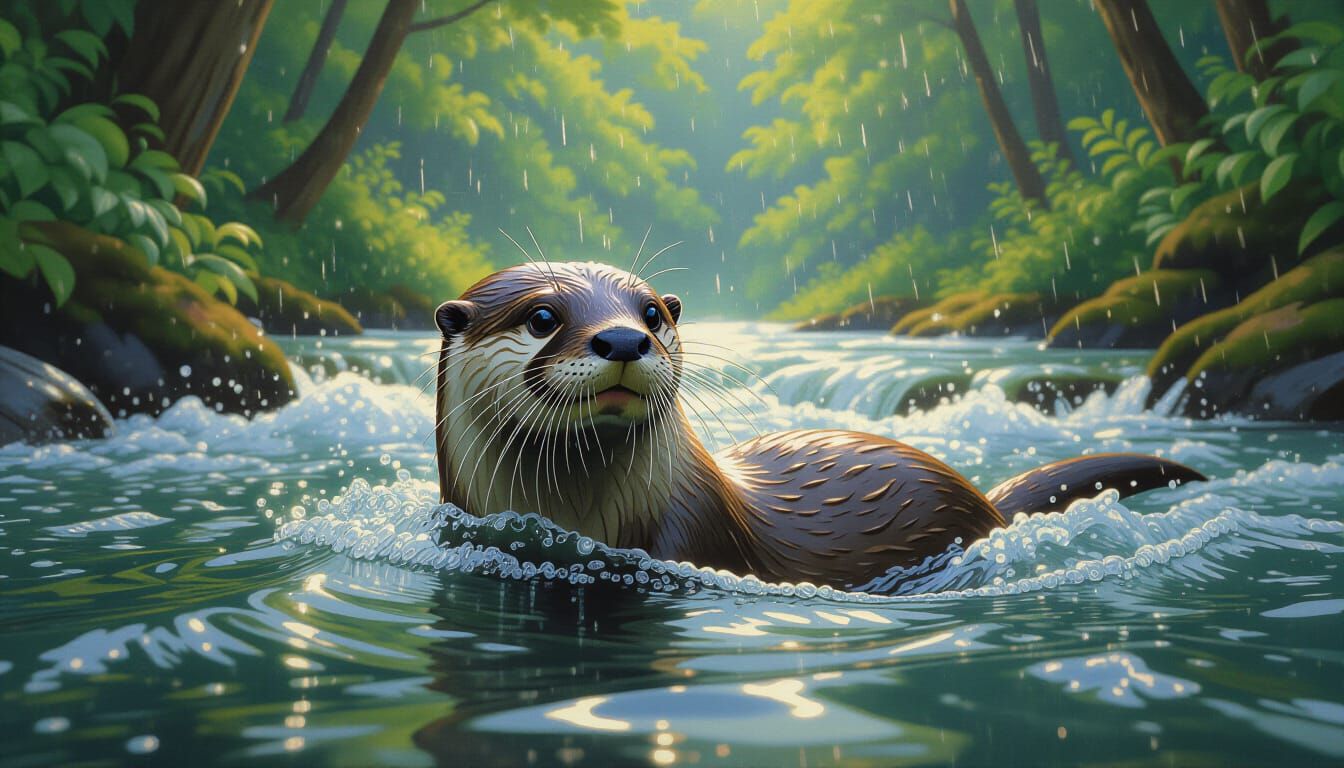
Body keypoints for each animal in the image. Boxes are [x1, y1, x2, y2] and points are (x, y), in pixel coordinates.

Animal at [434, 262, 1204, 590]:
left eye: (651, 312)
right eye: (542, 316)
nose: (624, 338)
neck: (584, 514)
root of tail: (984, 498)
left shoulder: (692, 537)